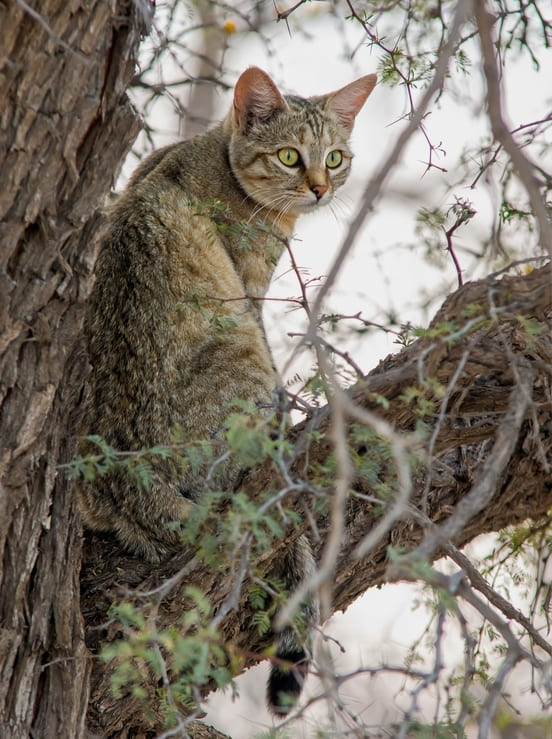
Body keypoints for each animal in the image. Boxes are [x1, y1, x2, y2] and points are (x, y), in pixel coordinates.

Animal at [77, 68, 378, 716]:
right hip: (243, 356)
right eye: (290, 156)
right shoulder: (249, 289)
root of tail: (133, 487)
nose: (320, 189)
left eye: (335, 158)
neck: (208, 154)